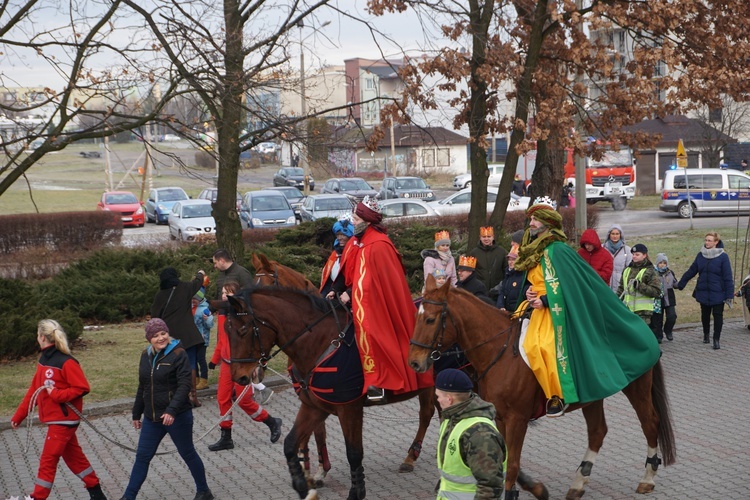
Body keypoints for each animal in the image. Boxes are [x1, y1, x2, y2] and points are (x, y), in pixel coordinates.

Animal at [220, 286, 438, 500]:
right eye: (226, 330)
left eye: (243, 330)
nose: (239, 377)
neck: (322, 343)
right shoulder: (314, 406)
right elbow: (292, 443)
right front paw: (303, 483)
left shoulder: (349, 409)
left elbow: (353, 452)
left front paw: (355, 491)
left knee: (427, 415)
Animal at [408, 278, 680, 500]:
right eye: (417, 317)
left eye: (430, 319)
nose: (414, 362)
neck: (501, 351)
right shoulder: (501, 417)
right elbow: (506, 460)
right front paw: (536, 488)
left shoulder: (517, 419)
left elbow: (512, 465)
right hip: (594, 397)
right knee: (597, 432)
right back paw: (578, 483)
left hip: (637, 387)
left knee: (650, 423)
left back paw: (647, 478)